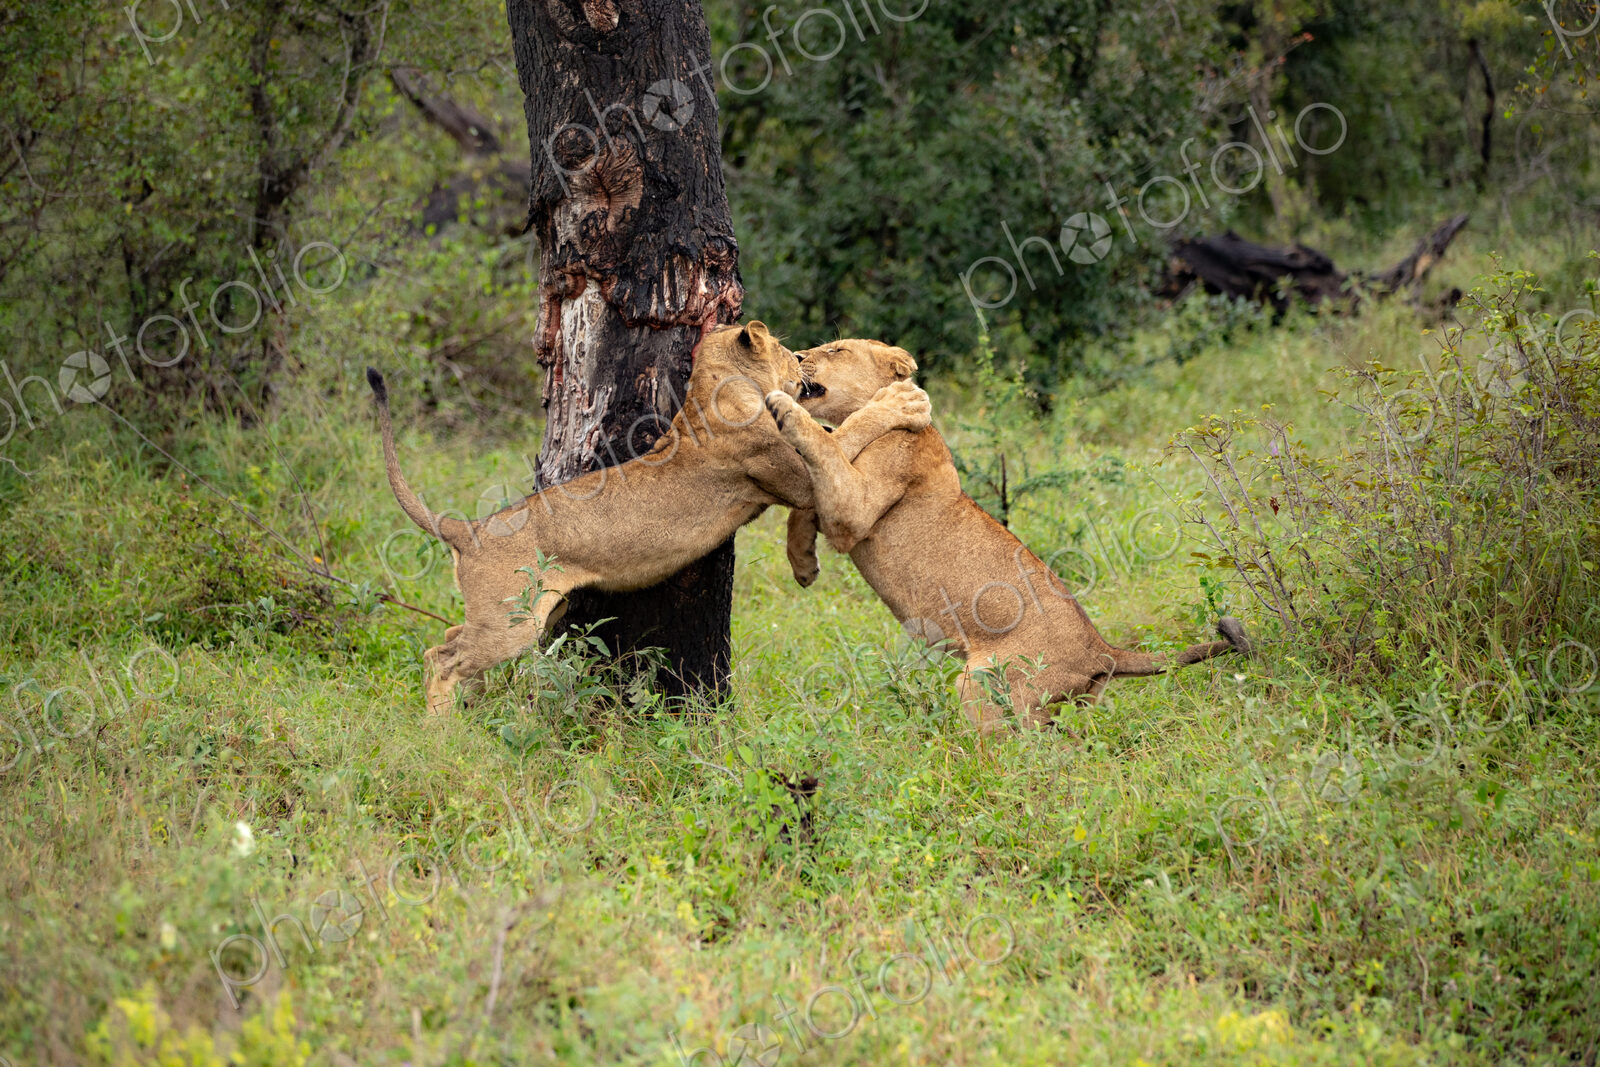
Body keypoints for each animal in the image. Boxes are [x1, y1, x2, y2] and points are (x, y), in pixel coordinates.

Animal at [369, 322, 932, 714]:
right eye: (782, 348)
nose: (799, 360)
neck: (711, 386)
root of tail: (469, 528)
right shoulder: (791, 471)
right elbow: (843, 436)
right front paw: (903, 401)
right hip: (512, 622)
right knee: (442, 658)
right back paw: (441, 731)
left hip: (526, 611)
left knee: (447, 641)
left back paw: (473, 707)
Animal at [763, 338, 1249, 734]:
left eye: (837, 349)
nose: (798, 357)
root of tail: (1101, 650)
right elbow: (808, 497)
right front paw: (803, 564)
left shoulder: (856, 508)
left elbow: (823, 448)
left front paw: (784, 408)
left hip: (980, 682)